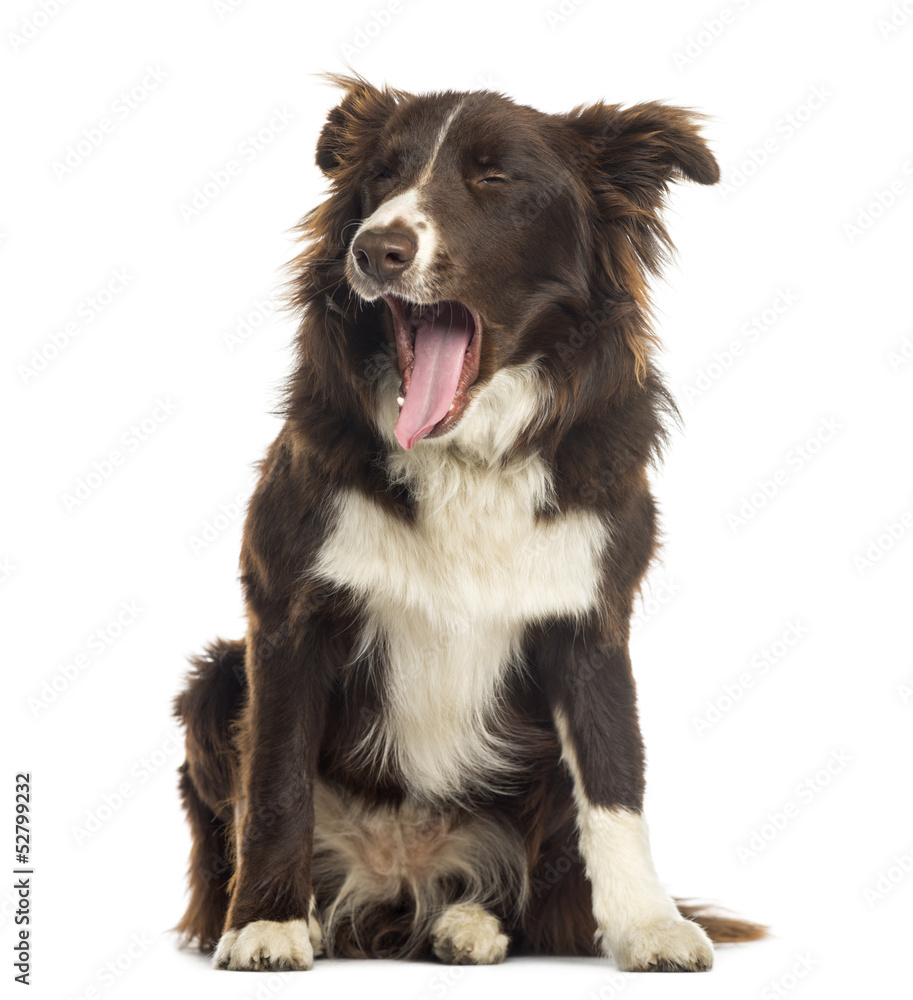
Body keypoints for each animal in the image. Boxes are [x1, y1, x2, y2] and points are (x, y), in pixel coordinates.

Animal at [173, 74, 764, 972]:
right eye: (382, 176)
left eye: (494, 178)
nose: (375, 249)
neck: (466, 455)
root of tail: (397, 876)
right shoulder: (285, 614)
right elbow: (274, 779)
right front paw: (266, 923)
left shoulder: (591, 622)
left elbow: (614, 780)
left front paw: (648, 925)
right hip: (214, 682)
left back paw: (471, 923)